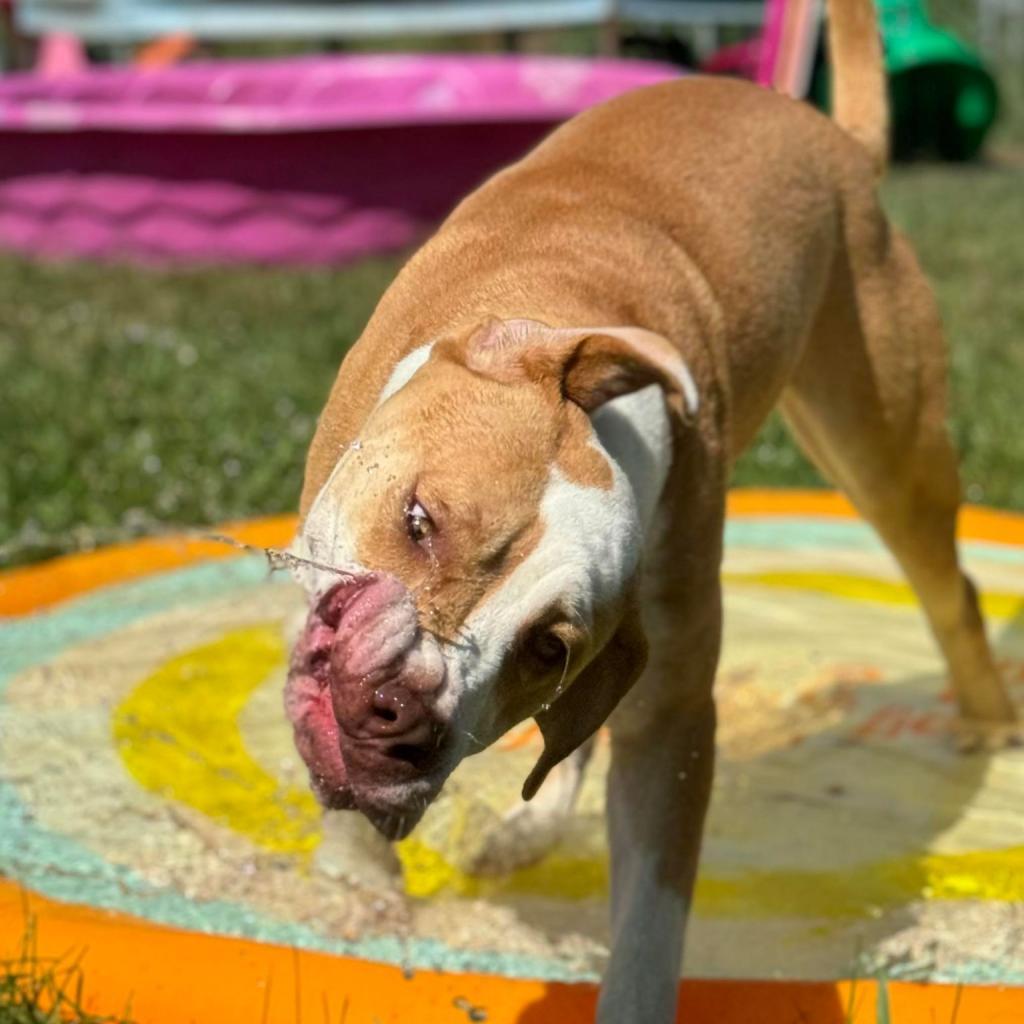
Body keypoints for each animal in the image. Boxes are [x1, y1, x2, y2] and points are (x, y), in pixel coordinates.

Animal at [284, 0, 1019, 1015]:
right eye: (419, 521)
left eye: (545, 650)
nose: (399, 708)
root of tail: (832, 135)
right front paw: (355, 893)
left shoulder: (669, 709)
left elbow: (649, 920)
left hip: (886, 444)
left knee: (949, 586)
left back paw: (987, 724)